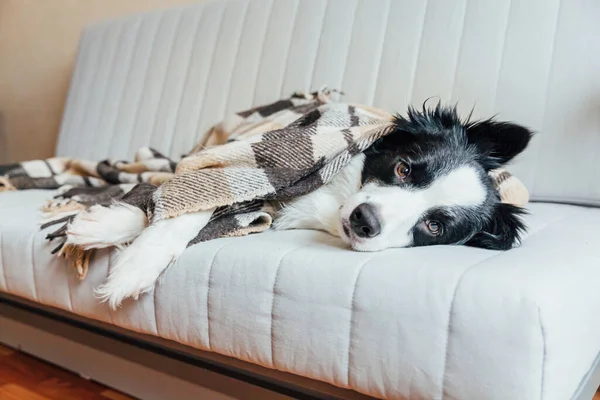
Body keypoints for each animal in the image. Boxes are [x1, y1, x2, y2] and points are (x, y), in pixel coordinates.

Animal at [68, 102, 532, 306]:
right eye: (403, 169)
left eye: (434, 227)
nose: (364, 220)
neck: (334, 201)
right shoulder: (252, 169)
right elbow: (188, 202)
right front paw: (120, 246)